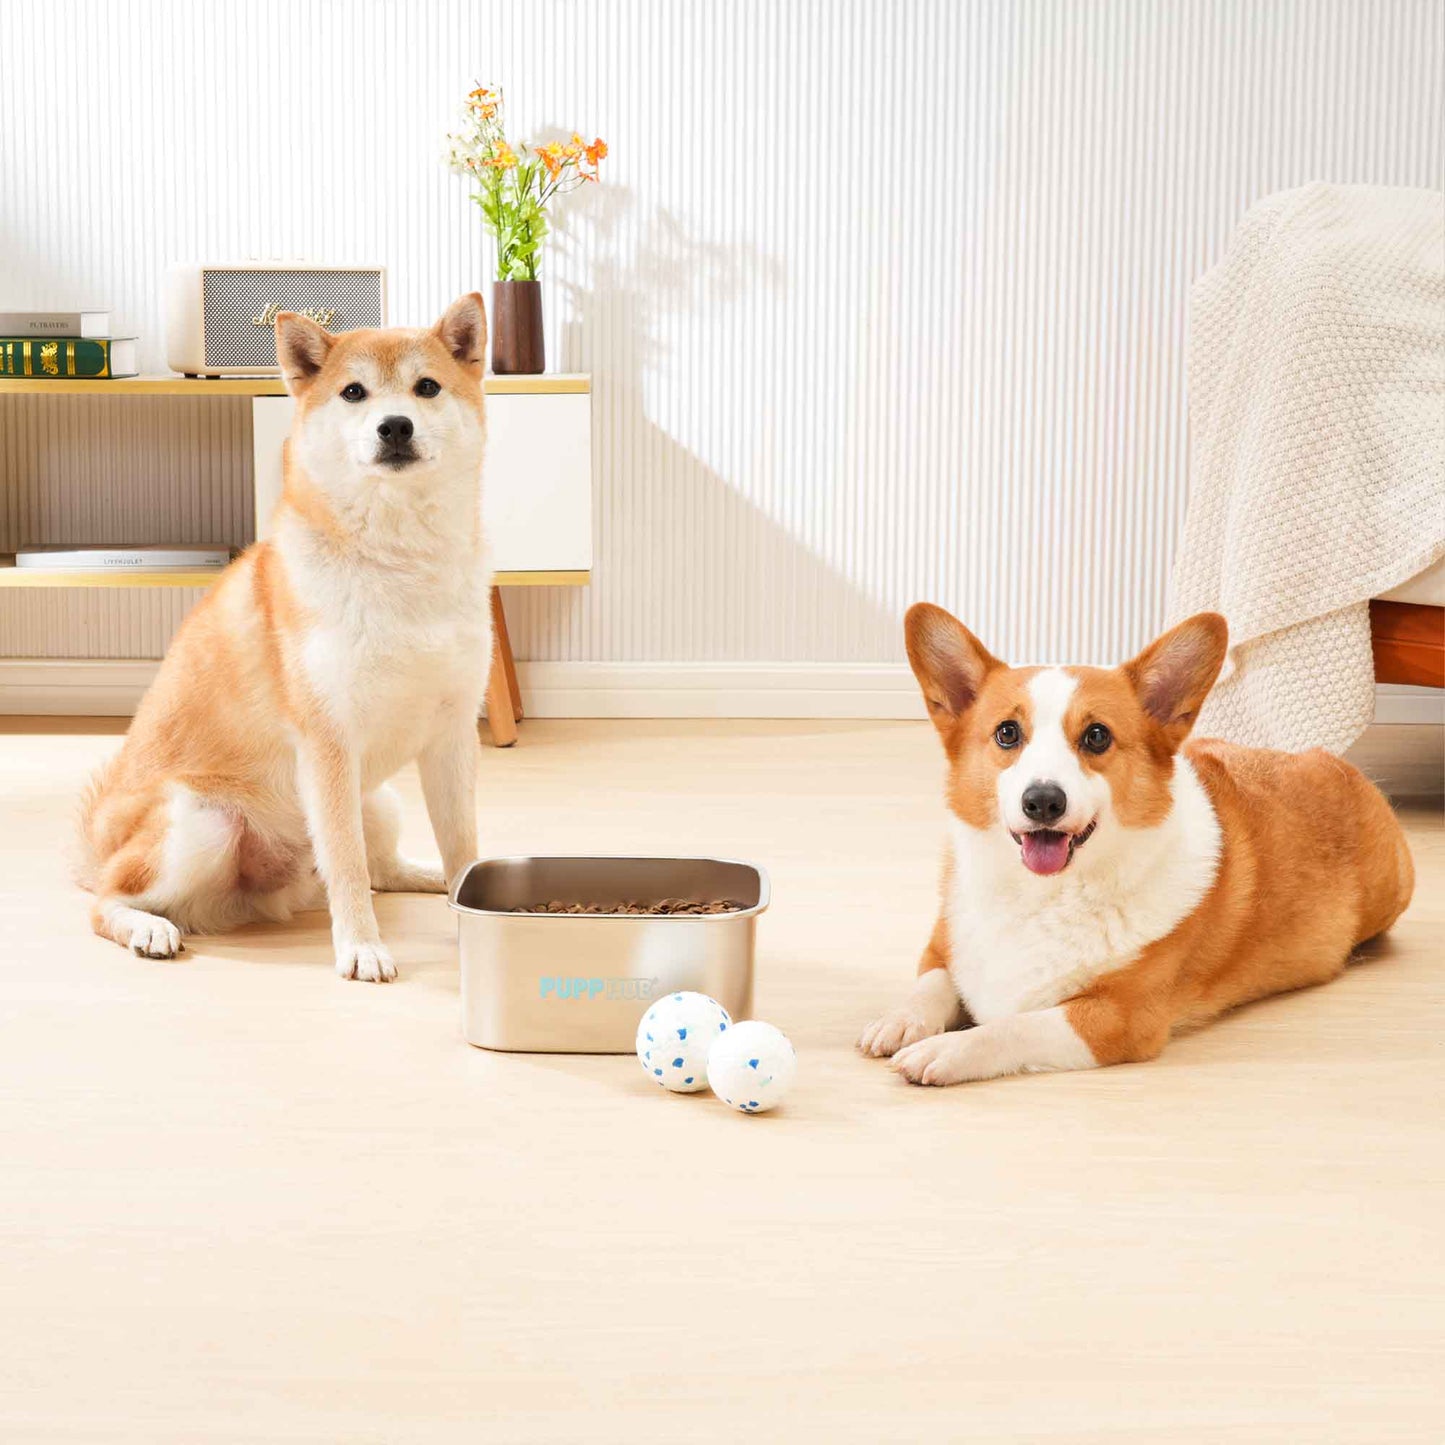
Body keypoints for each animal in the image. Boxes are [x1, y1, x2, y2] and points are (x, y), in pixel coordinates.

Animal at [80, 293, 497, 982]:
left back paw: (428, 875)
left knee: (383, 868)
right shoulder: (327, 743)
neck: (398, 562)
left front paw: (473, 911)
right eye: (354, 392)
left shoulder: (453, 735)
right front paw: (361, 948)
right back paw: (147, 927)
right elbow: (347, 866)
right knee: (106, 899)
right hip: (204, 825)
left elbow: (461, 844)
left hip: (378, 800)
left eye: (427, 388)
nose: (395, 427)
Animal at [855, 604, 1410, 1086]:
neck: (1042, 897)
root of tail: (1338, 765)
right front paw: (900, 1021)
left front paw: (945, 1049)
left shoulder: (1114, 1019)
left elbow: (1012, 1026)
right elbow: (931, 982)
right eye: (1007, 733)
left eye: (1097, 736)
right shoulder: (942, 947)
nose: (1042, 801)